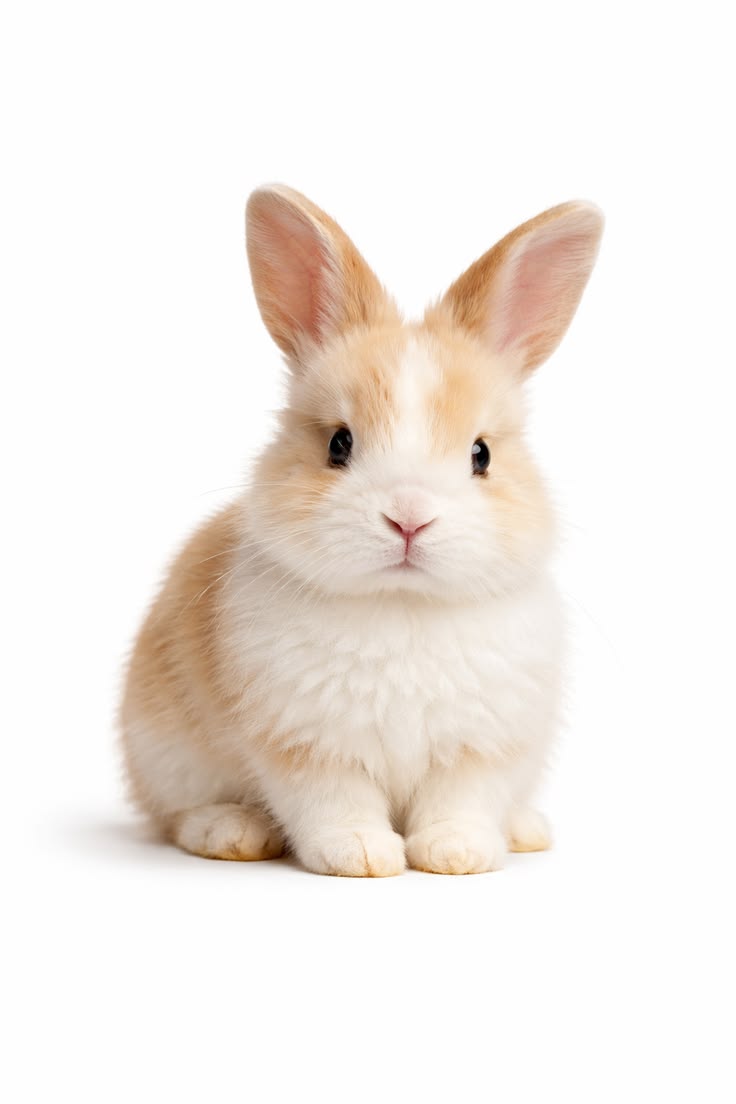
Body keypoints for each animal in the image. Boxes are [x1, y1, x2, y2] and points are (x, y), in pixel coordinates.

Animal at [120, 184, 603, 876]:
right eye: (339, 444)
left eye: (481, 454)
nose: (409, 517)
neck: (401, 603)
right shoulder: (308, 743)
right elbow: (334, 800)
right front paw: (362, 856)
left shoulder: (481, 745)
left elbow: (461, 799)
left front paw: (456, 853)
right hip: (165, 754)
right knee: (173, 816)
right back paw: (232, 833)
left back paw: (525, 829)